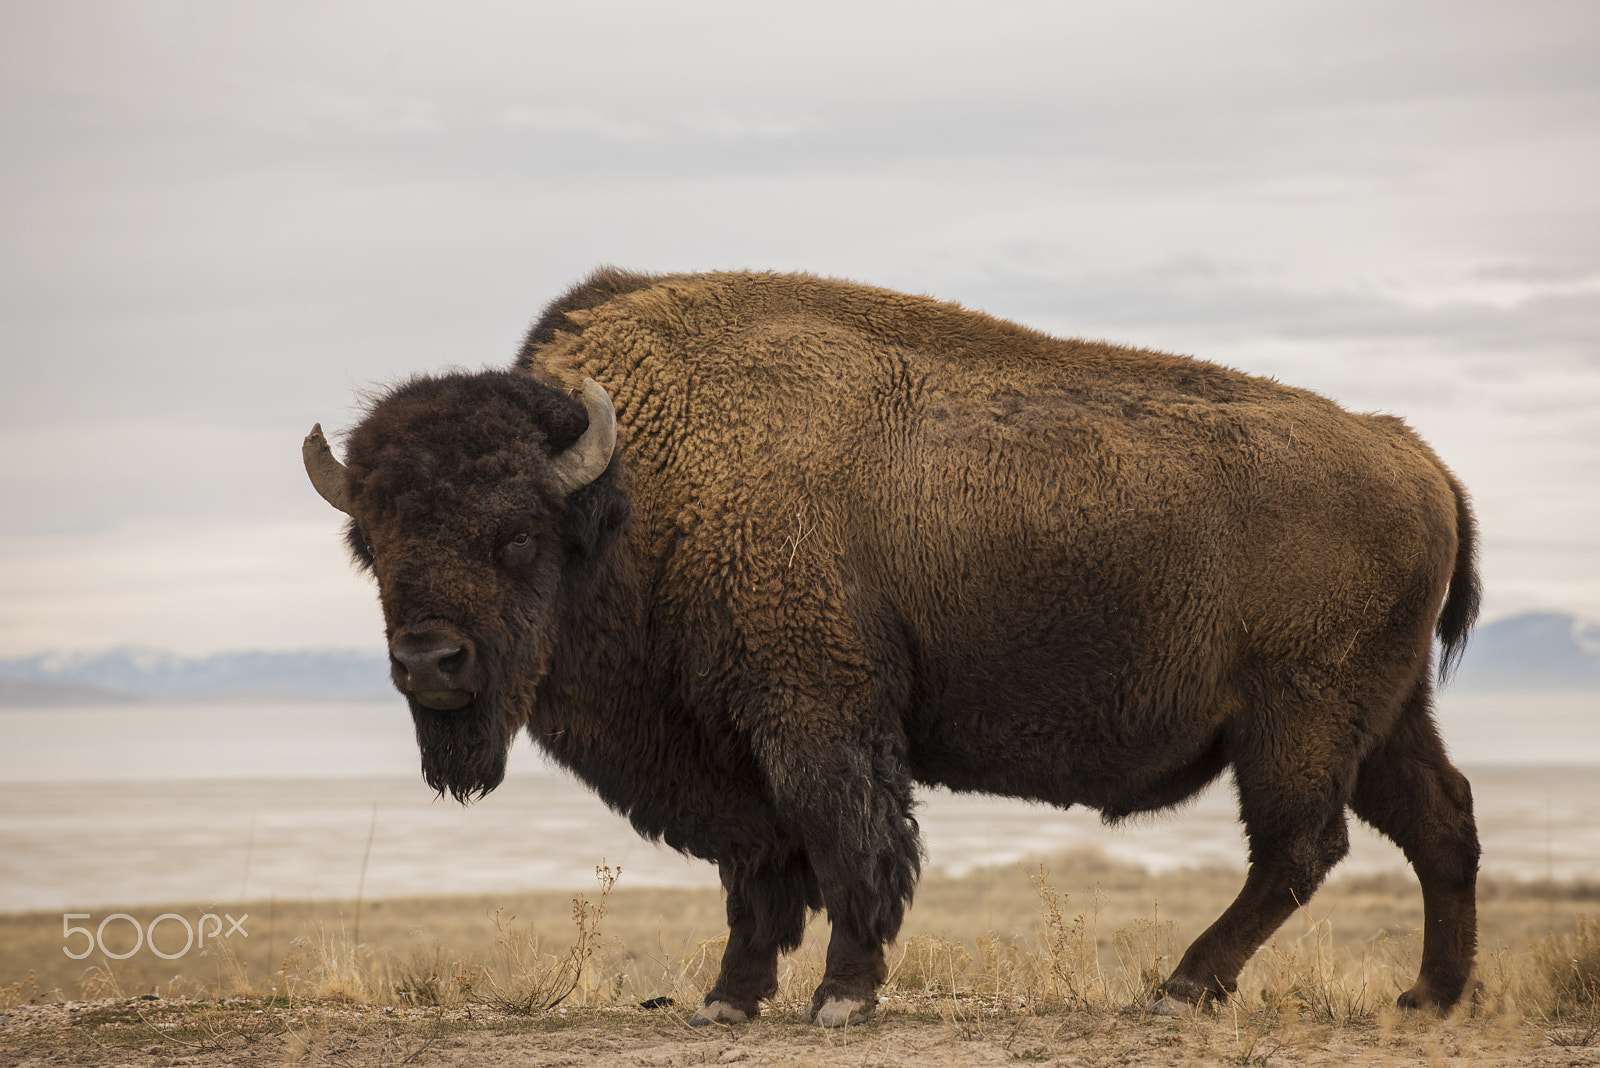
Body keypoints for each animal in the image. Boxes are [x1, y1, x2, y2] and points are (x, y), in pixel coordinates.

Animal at [303, 268, 1481, 1025]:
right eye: (371, 543)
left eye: (515, 536)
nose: (429, 662)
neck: (638, 489)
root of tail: (1411, 452)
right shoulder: (729, 751)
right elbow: (758, 868)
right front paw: (728, 1001)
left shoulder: (816, 716)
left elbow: (842, 842)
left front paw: (840, 996)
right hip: (1383, 715)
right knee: (1439, 822)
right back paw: (1428, 997)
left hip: (1297, 720)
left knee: (1300, 847)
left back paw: (1184, 988)